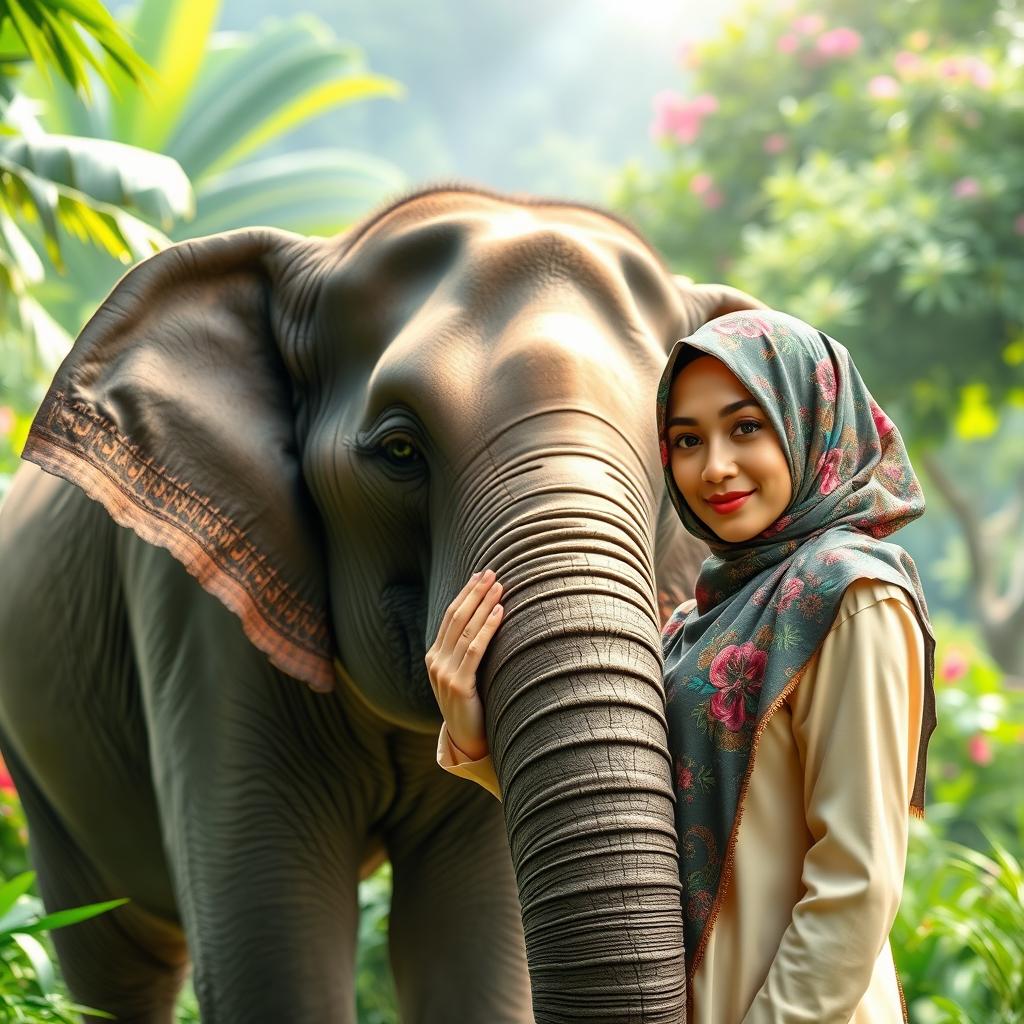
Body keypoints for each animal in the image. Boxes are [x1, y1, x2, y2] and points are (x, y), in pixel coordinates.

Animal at [0, 185, 763, 1023]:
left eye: (673, 449)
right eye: (400, 451)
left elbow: (471, 950)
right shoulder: (194, 622)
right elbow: (269, 955)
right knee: (114, 959)